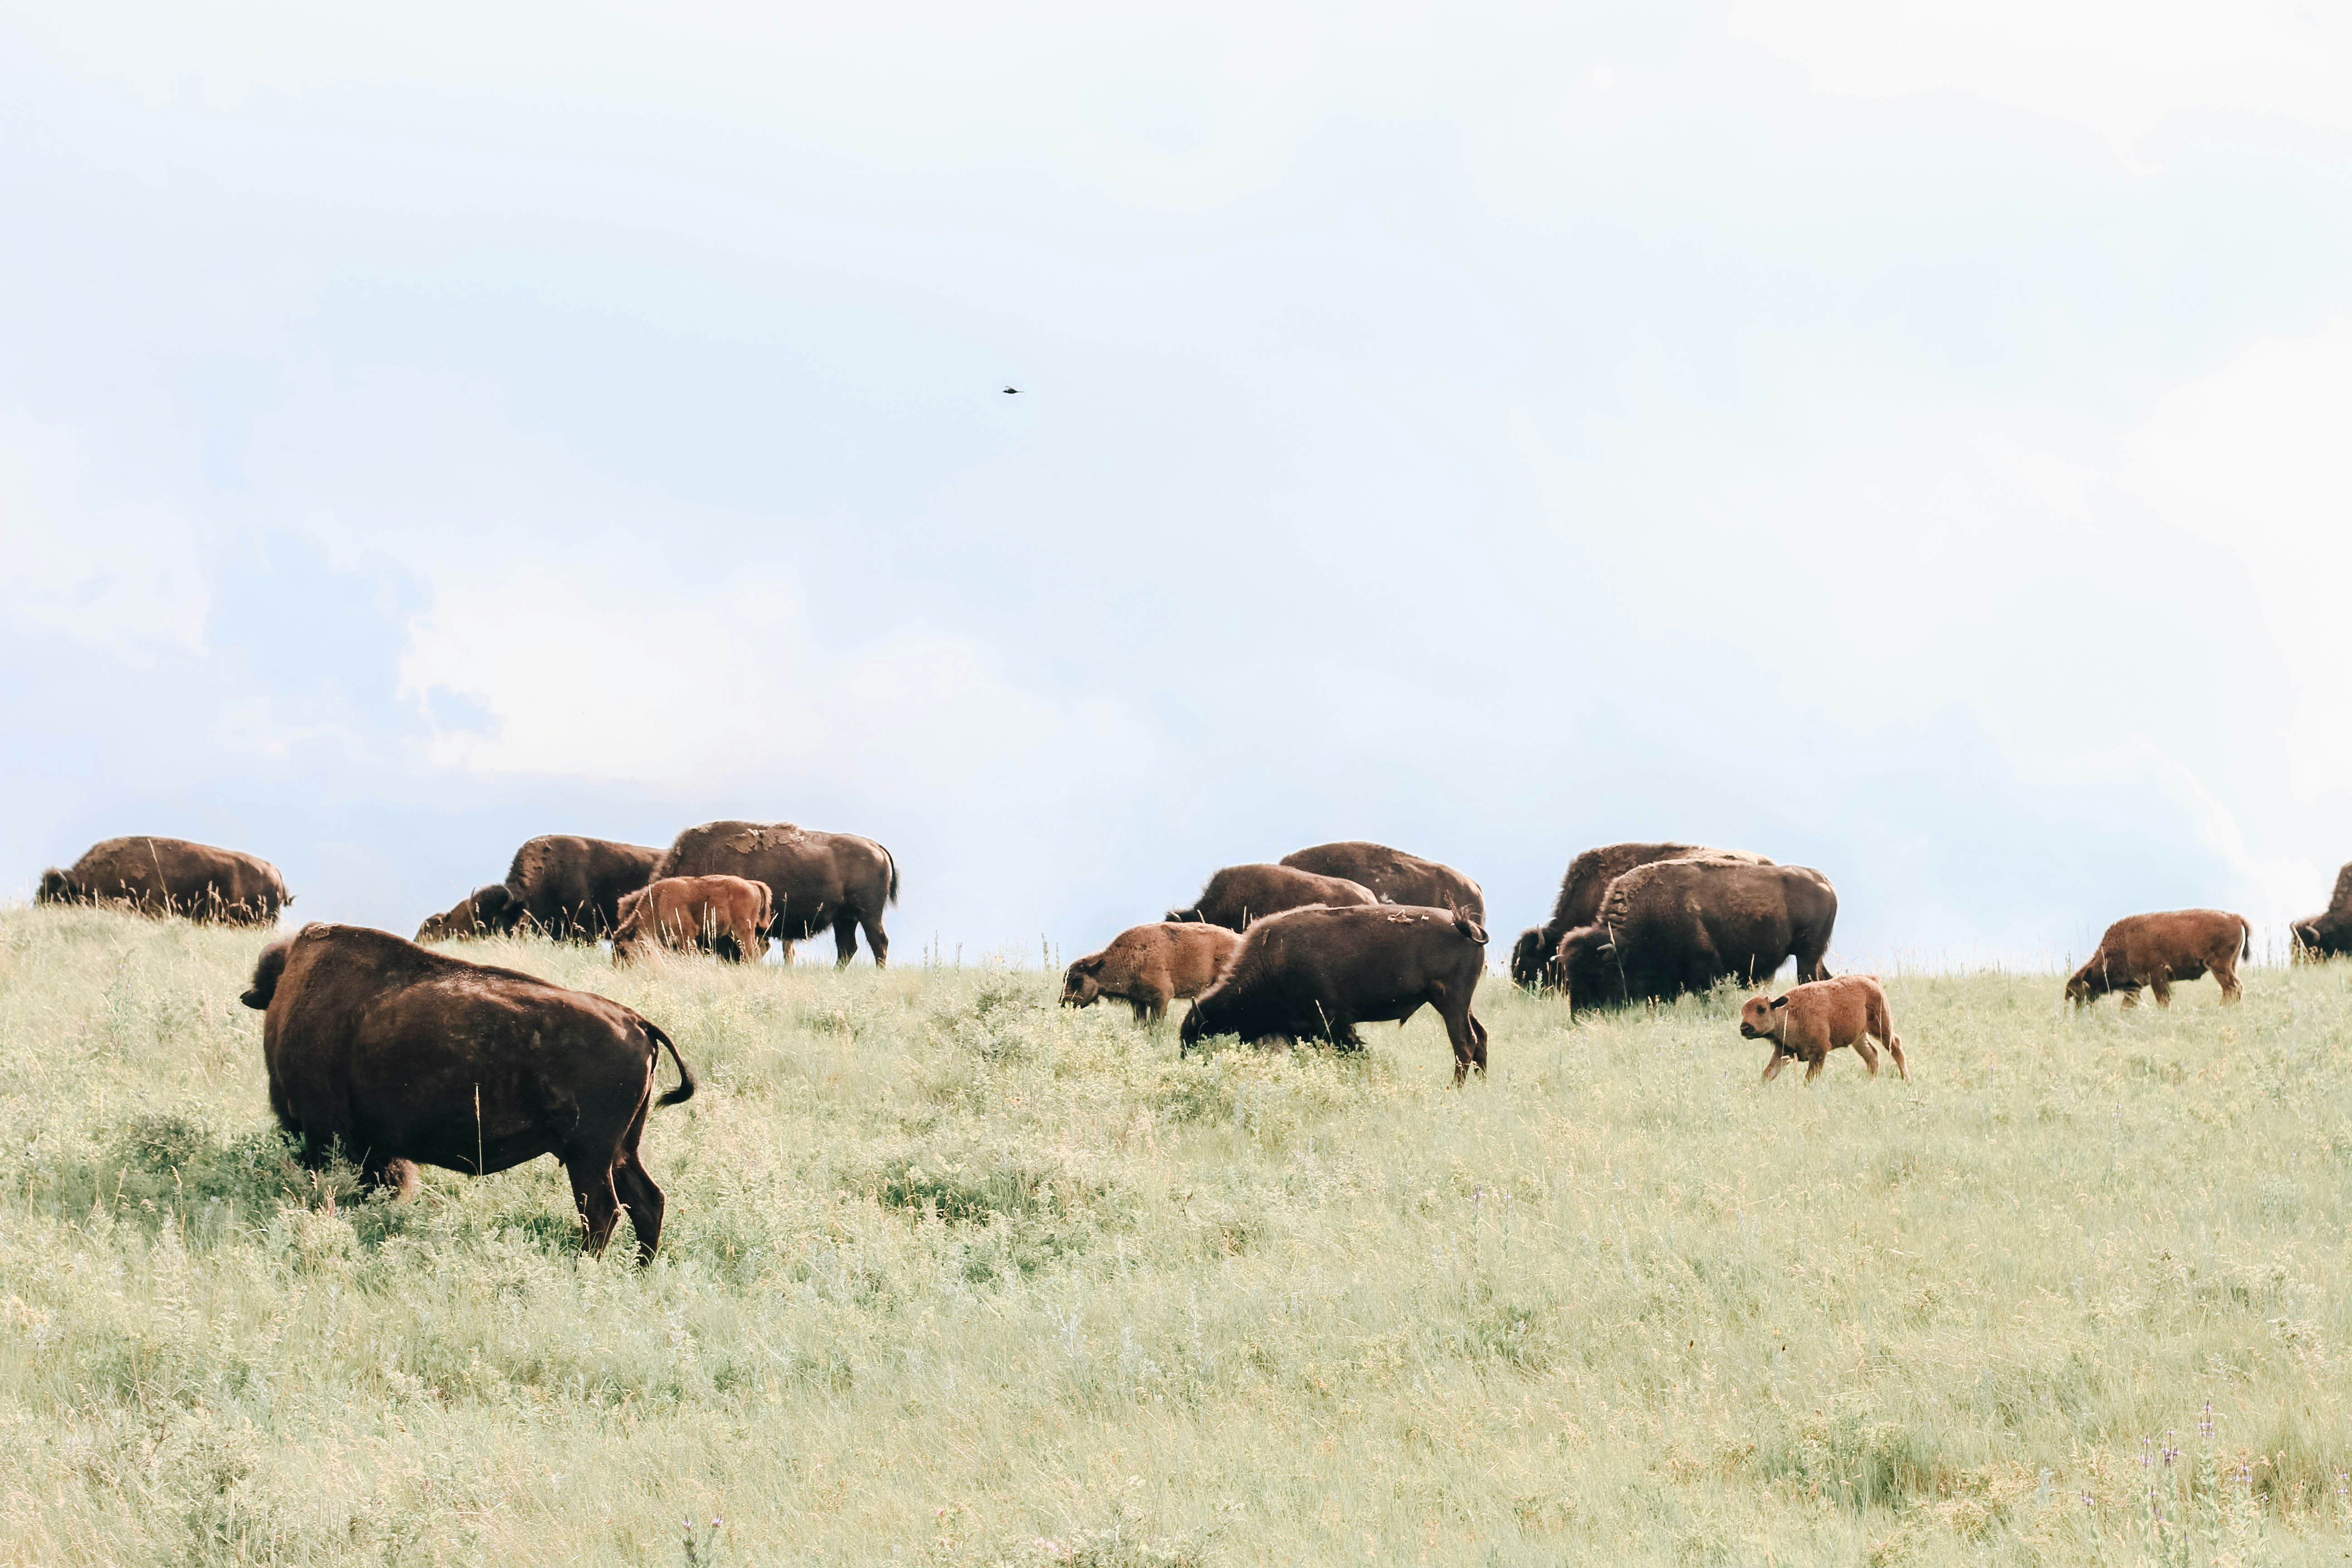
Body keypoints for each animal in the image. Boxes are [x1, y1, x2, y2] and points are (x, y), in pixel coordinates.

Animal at [240, 924, 695, 1263]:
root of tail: (637, 1021)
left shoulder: (328, 1133)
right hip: (620, 1150)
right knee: (647, 1201)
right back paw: (639, 1270)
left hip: (589, 1155)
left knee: (603, 1210)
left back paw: (583, 1268)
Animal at [1179, 904, 1491, 1083]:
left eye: (1196, 1038)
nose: (1185, 1063)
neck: (1272, 962)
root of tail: (1469, 928)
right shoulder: (1304, 1030)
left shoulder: (1332, 1023)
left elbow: (1352, 1052)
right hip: (1458, 1004)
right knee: (1480, 1037)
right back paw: (1480, 1085)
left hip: (1451, 1002)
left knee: (1465, 1042)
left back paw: (1454, 1089)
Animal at [1555, 857, 1836, 1014]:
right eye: (1570, 975)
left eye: (1598, 974)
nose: (1579, 1015)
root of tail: (1825, 882)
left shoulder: (1704, 967)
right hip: (1814, 956)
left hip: (1807, 955)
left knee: (1809, 979)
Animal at [2066, 910, 2249, 1009]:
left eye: (2077, 993)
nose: (2078, 1011)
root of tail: (2234, 917)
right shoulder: (2135, 986)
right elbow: (2126, 1007)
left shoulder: (2157, 976)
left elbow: (2163, 1000)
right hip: (2231, 965)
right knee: (2235, 988)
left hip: (2219, 966)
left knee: (2232, 988)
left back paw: (2221, 1008)